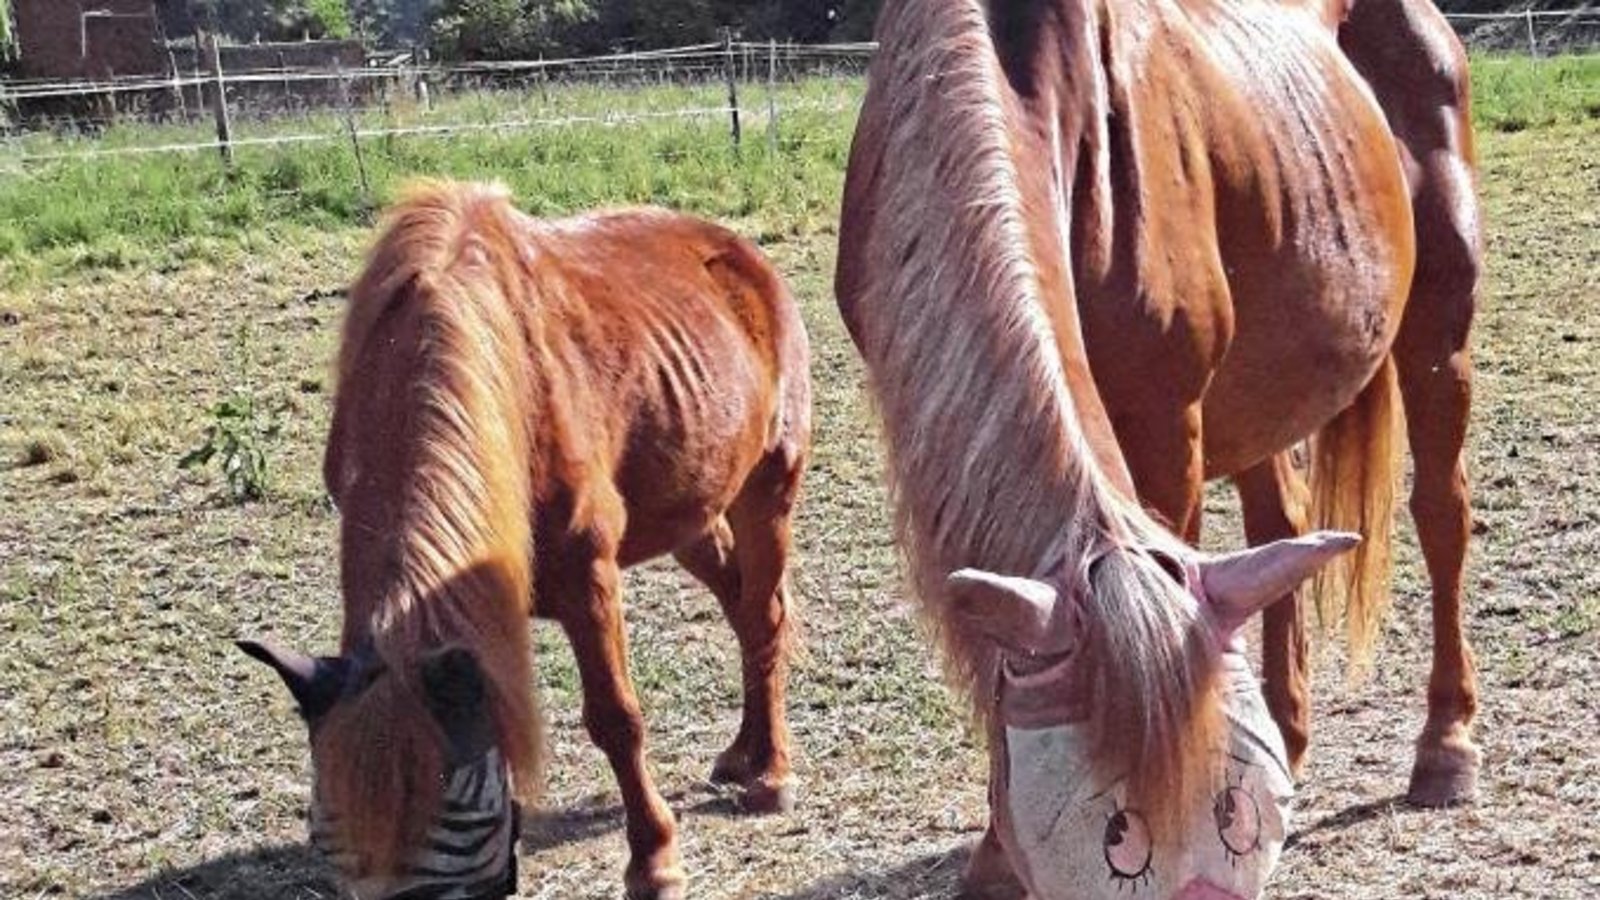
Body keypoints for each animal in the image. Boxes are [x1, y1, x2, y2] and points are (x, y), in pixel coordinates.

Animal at [239, 180, 811, 900]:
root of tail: (735, 248)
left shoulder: (587, 576)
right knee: (739, 607)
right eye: (338, 866)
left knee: (763, 615)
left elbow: (616, 720)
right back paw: (744, 752)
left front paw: (654, 861)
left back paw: (771, 772)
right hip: (692, 510)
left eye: (448, 846)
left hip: (766, 485)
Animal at [835, 1, 1479, 898]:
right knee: (1278, 524)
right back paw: (1293, 727)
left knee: (1441, 514)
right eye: (1116, 839)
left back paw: (1447, 746)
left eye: (1233, 823)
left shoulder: (1164, 428)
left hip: (1441, 321)